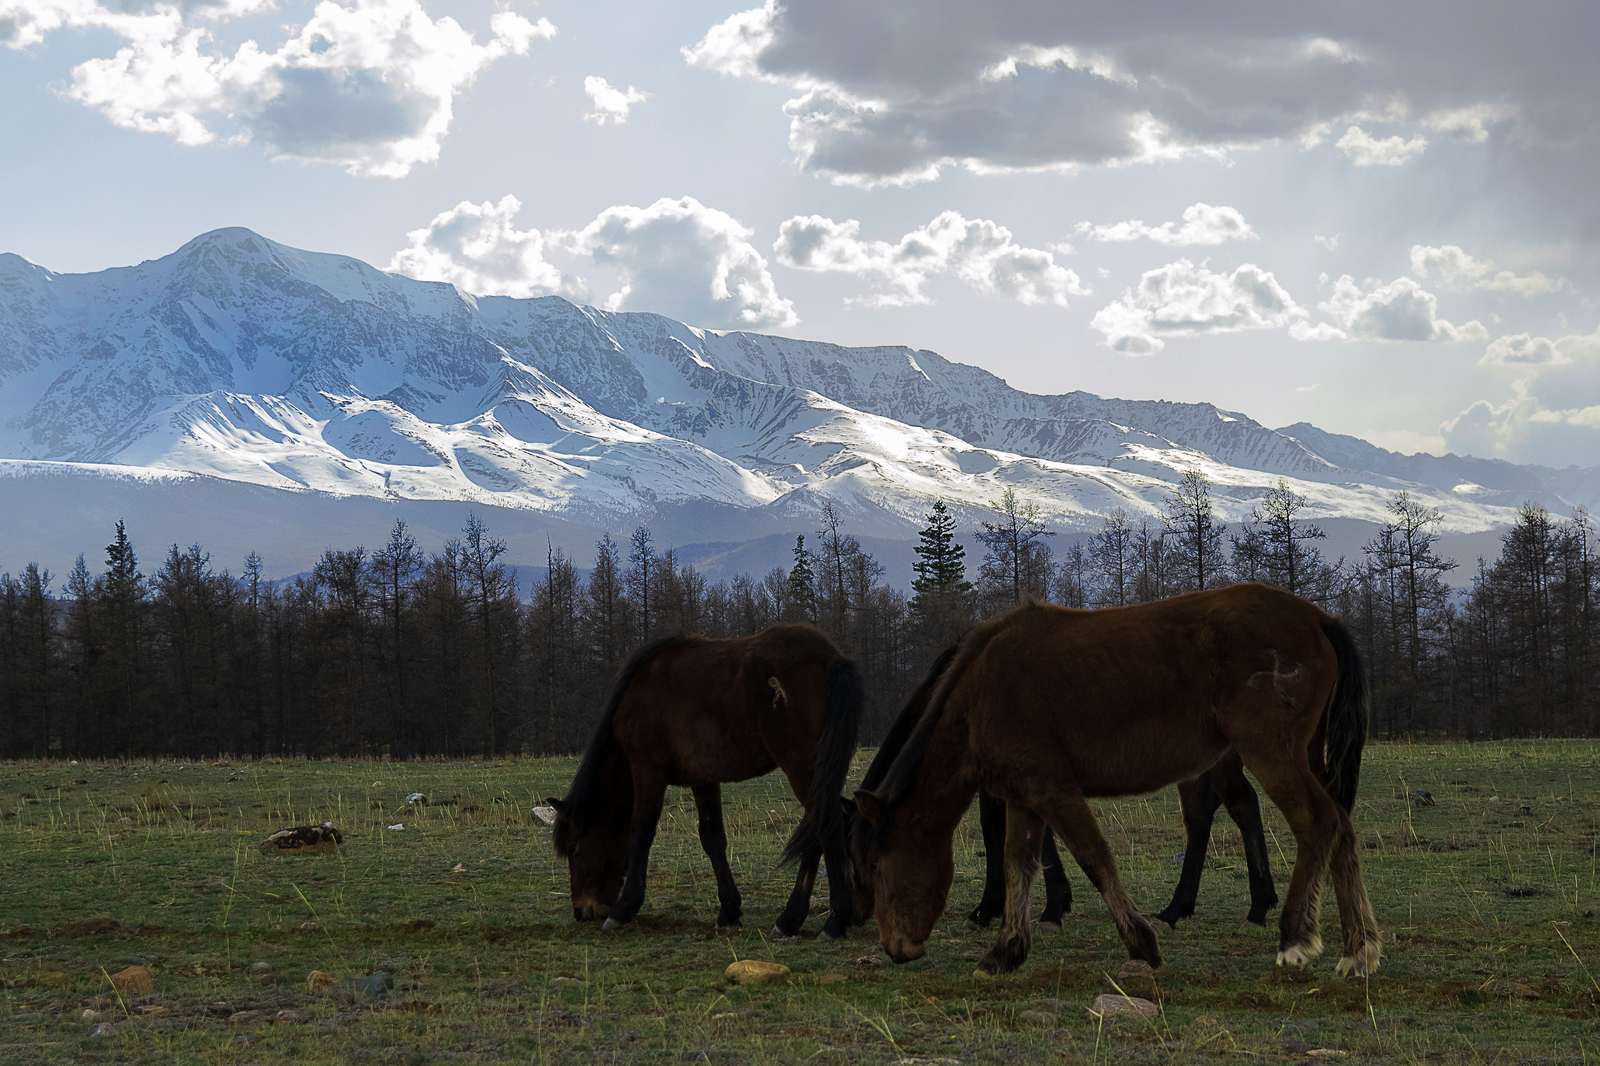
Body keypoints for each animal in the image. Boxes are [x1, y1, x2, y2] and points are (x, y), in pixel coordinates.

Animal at [550, 624, 864, 941]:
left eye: (573, 848)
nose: (581, 912)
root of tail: (830, 658)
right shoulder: (703, 779)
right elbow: (713, 839)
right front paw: (728, 912)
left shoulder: (648, 771)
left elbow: (641, 834)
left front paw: (623, 909)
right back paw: (790, 919)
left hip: (803, 769)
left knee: (826, 827)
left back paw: (834, 921)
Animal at [851, 585, 1376, 973]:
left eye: (874, 864)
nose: (895, 948)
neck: (982, 694)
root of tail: (1318, 618)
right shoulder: (1025, 794)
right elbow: (1020, 860)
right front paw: (1007, 948)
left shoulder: (1052, 789)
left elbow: (1093, 858)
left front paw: (1139, 942)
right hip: (1301, 757)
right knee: (1341, 828)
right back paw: (1358, 950)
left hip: (1269, 753)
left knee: (1318, 823)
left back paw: (1295, 937)